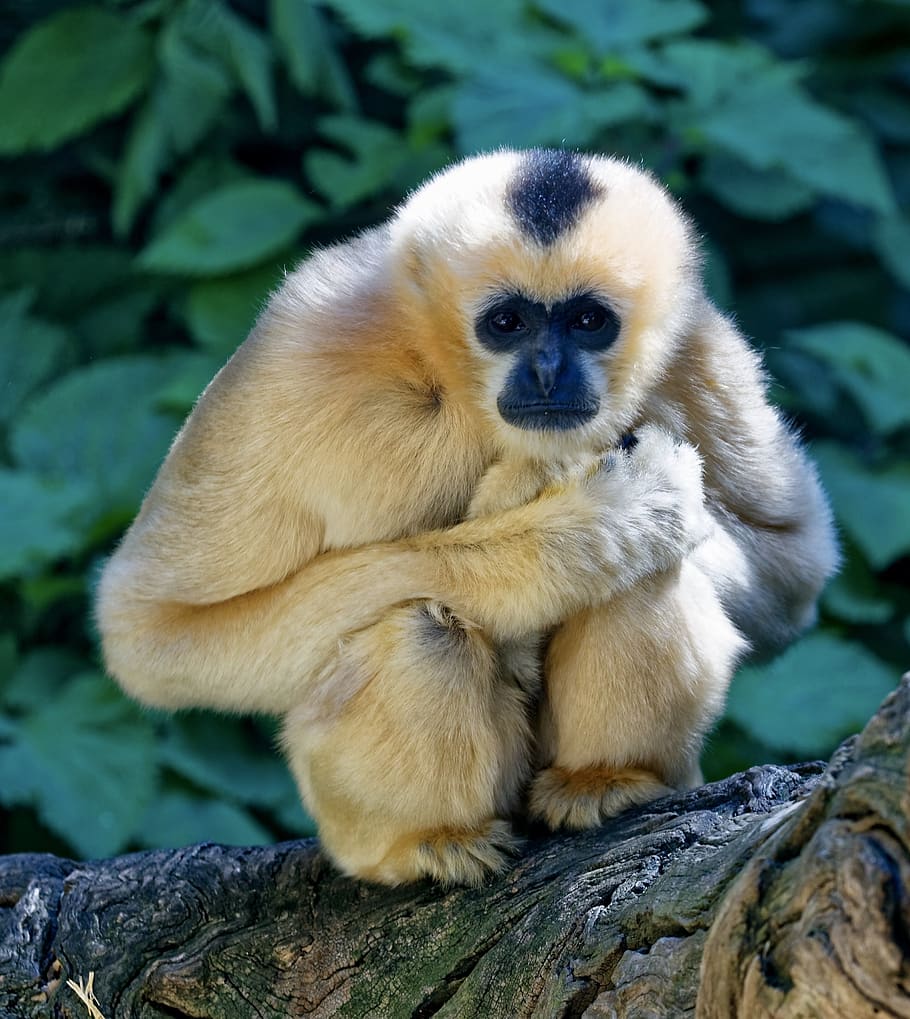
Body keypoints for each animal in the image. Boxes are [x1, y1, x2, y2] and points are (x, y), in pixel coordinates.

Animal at [96, 149, 837, 886]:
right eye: (506, 323)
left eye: (588, 321)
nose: (548, 371)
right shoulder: (302, 346)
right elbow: (153, 633)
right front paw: (578, 525)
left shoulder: (700, 347)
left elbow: (792, 572)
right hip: (342, 808)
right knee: (424, 624)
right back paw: (429, 839)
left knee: (651, 574)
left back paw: (604, 779)